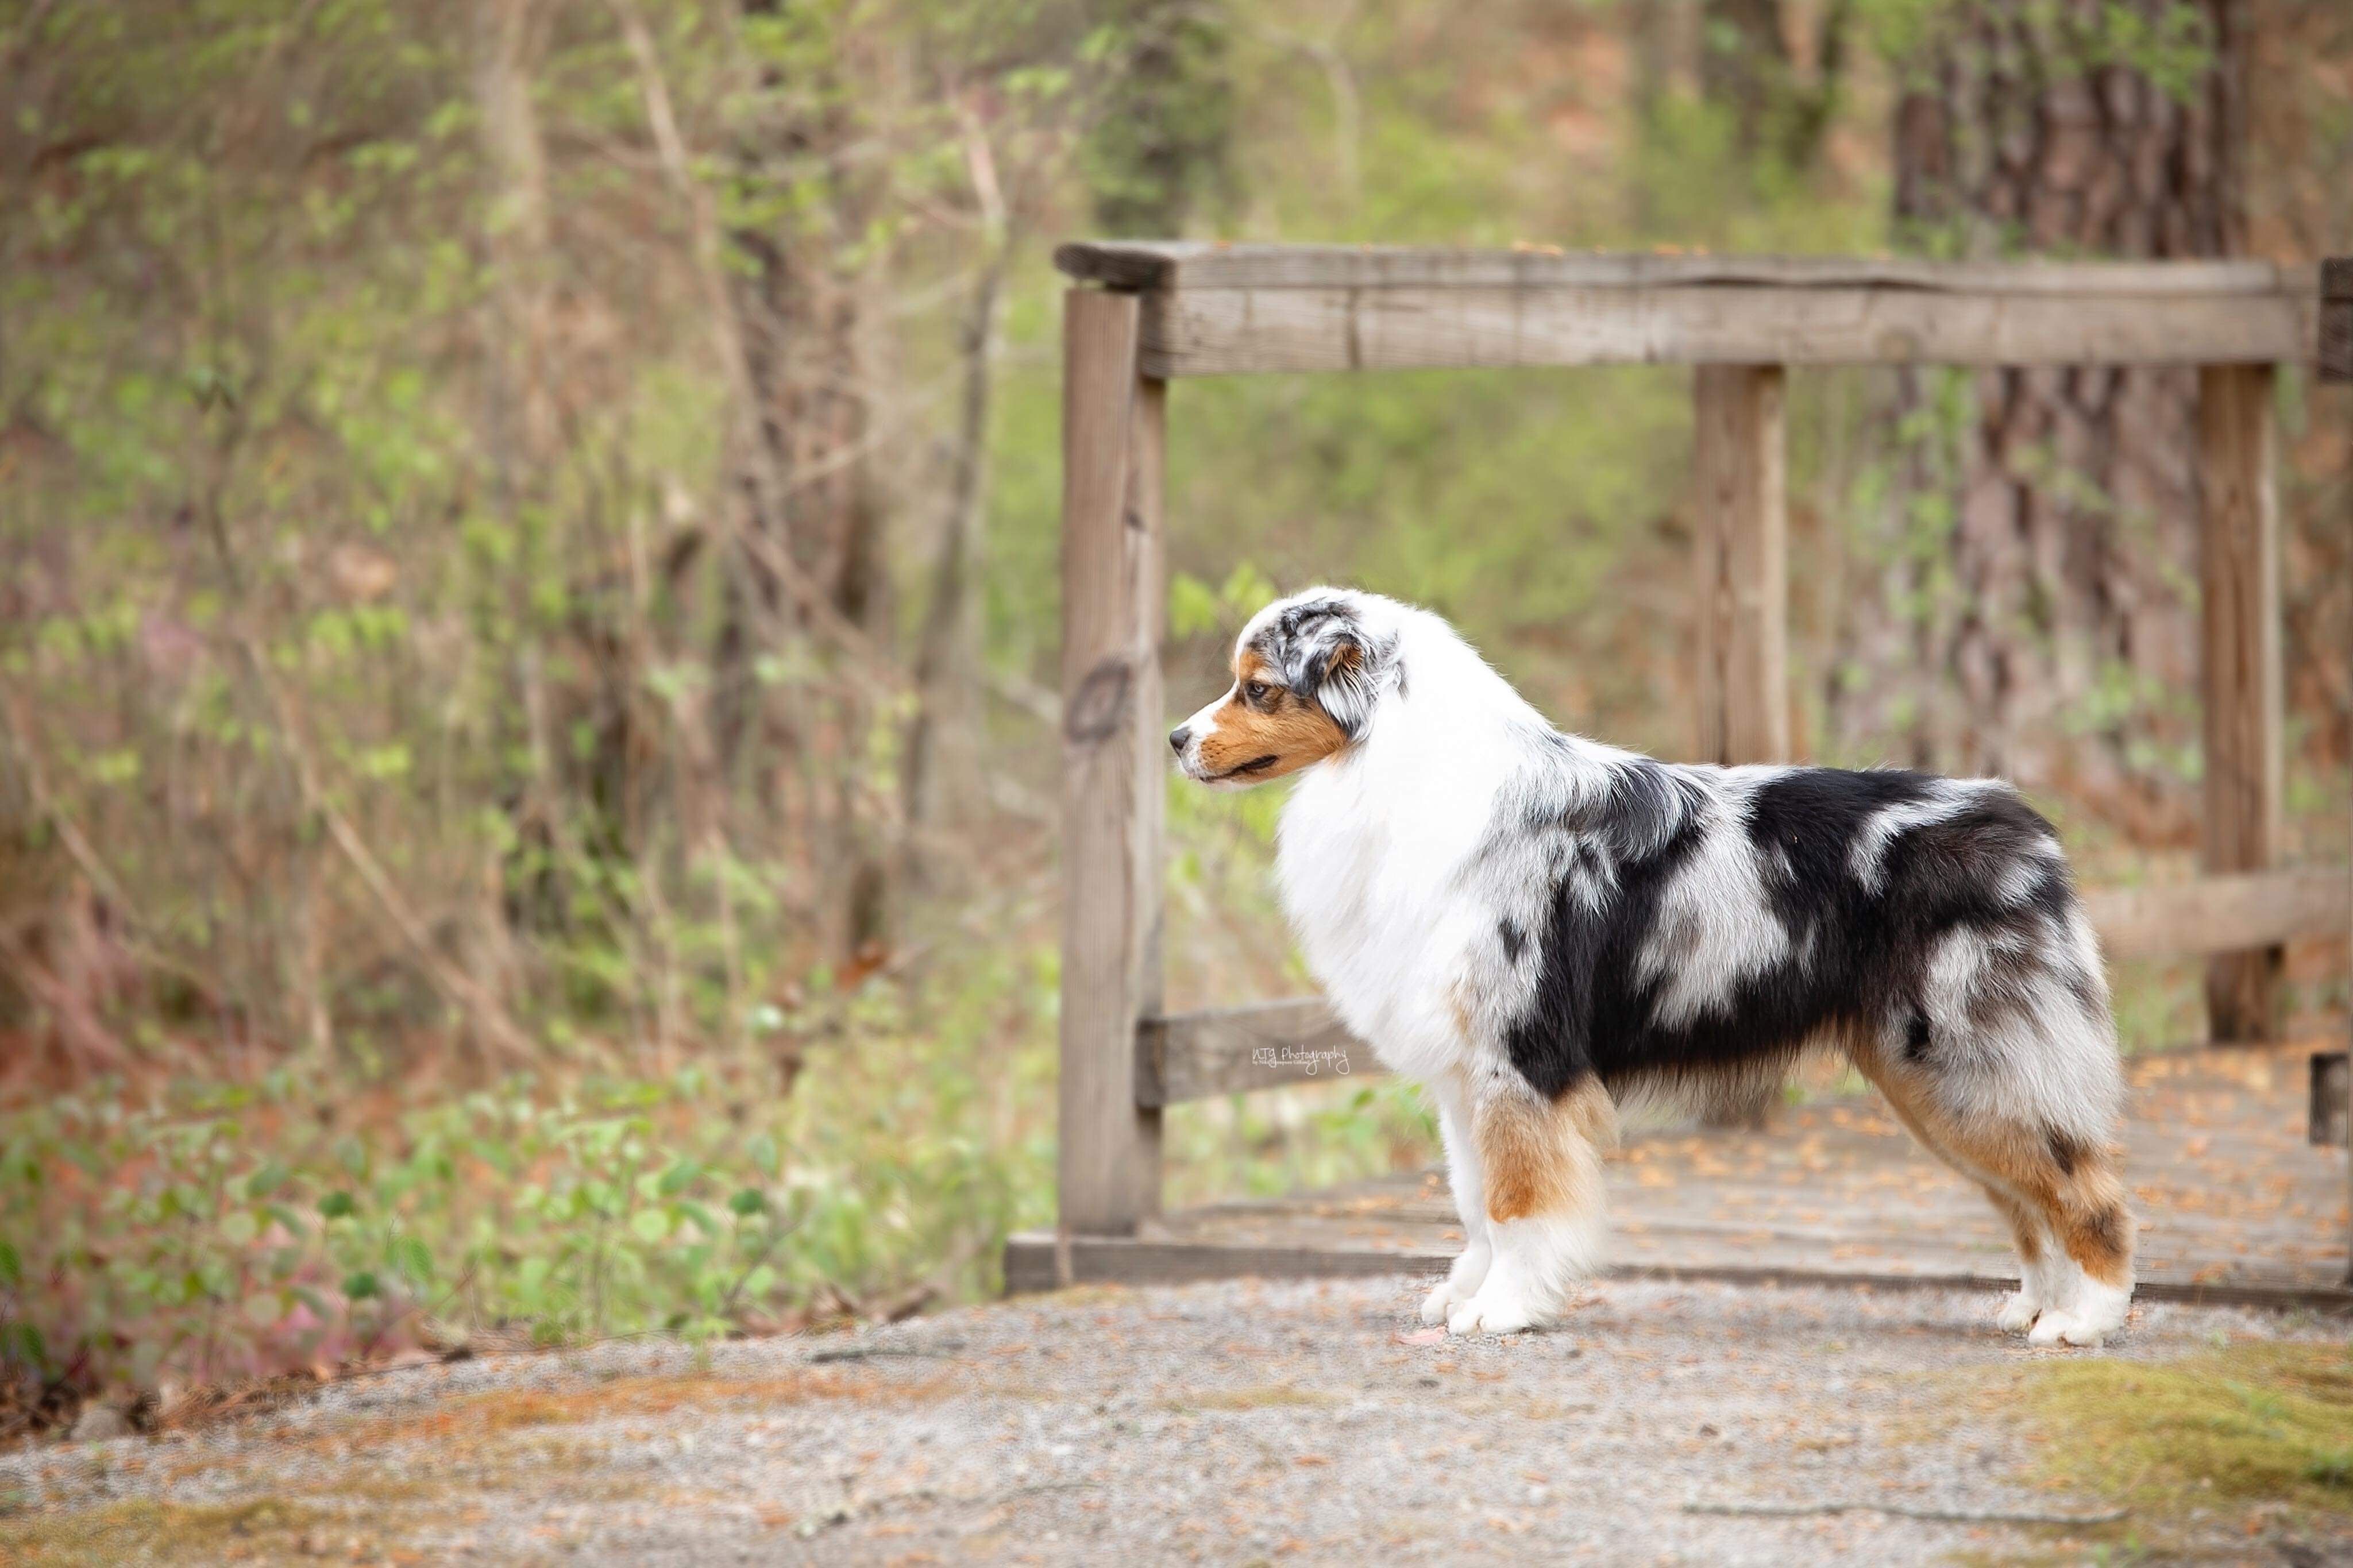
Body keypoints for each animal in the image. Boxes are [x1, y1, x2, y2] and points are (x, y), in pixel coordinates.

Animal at [1167, 588, 2146, 1354]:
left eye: (1257, 688)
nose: (1175, 738)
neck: (1397, 769)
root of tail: (2027, 826)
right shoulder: (1465, 1070)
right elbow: (1474, 1200)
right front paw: (1469, 1290)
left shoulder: (1523, 1056)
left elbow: (1517, 1199)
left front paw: (1505, 1309)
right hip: (1931, 1080)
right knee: (2027, 1195)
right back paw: (2035, 1306)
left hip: (1973, 1059)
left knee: (2082, 1184)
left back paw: (2084, 1318)